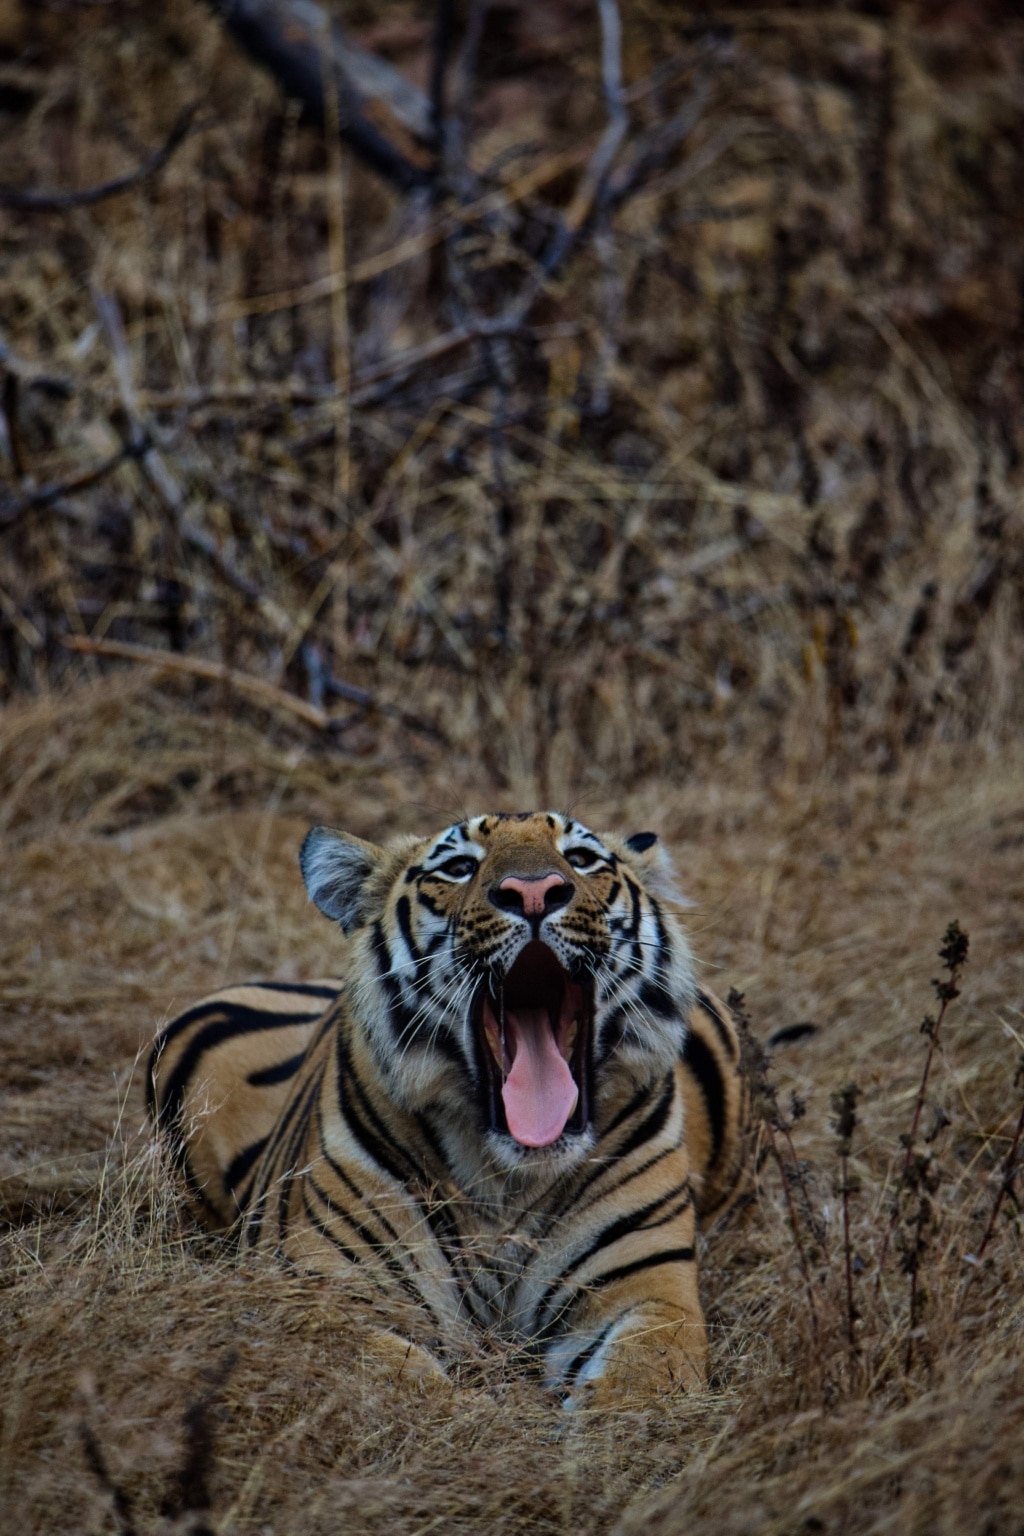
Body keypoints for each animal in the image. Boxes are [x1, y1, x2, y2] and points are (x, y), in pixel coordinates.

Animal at [148, 811, 750, 1407]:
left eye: (580, 860)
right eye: (460, 868)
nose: (535, 892)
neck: (508, 1180)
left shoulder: (647, 1289)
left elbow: (639, 1386)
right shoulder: (328, 1292)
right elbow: (408, 1392)